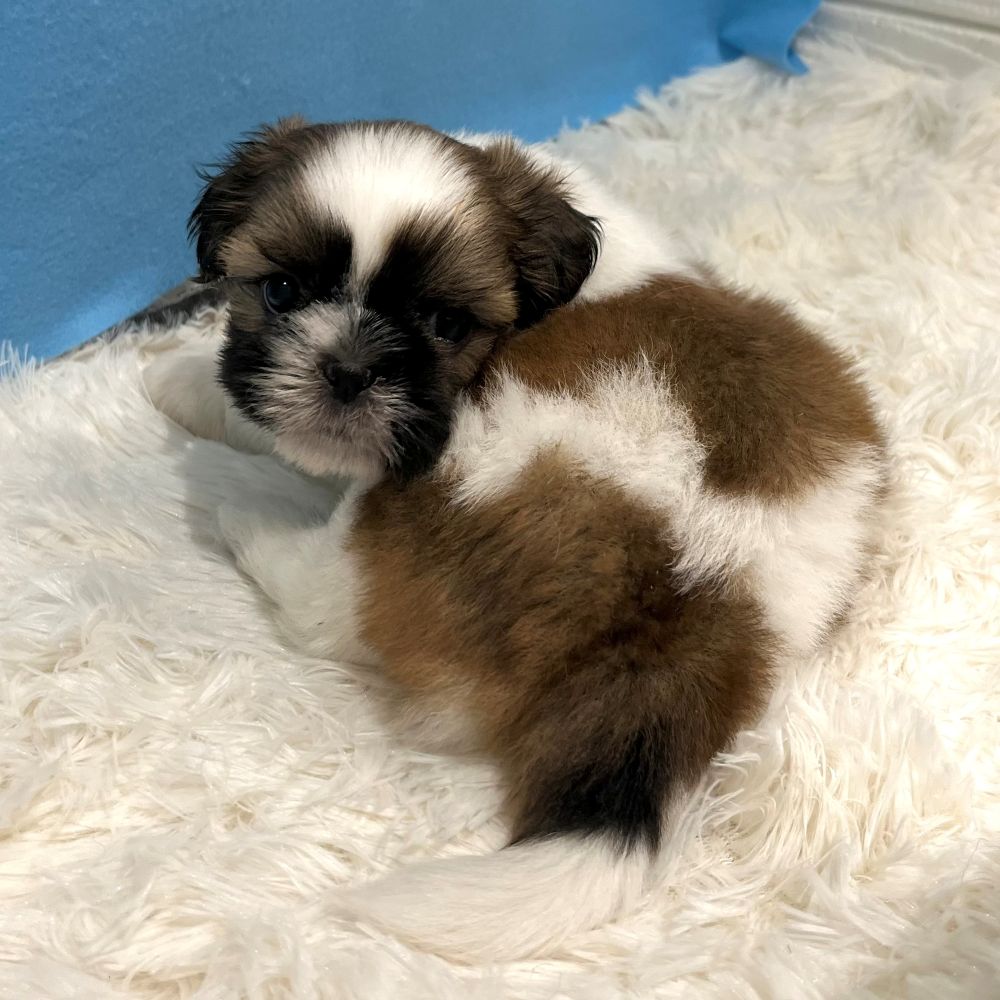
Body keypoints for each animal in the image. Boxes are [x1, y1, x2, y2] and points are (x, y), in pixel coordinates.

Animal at [145, 117, 887, 961]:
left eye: (445, 325)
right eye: (280, 293)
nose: (349, 370)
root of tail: (700, 597)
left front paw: (182, 384)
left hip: (443, 495)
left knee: (322, 601)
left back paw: (238, 502)